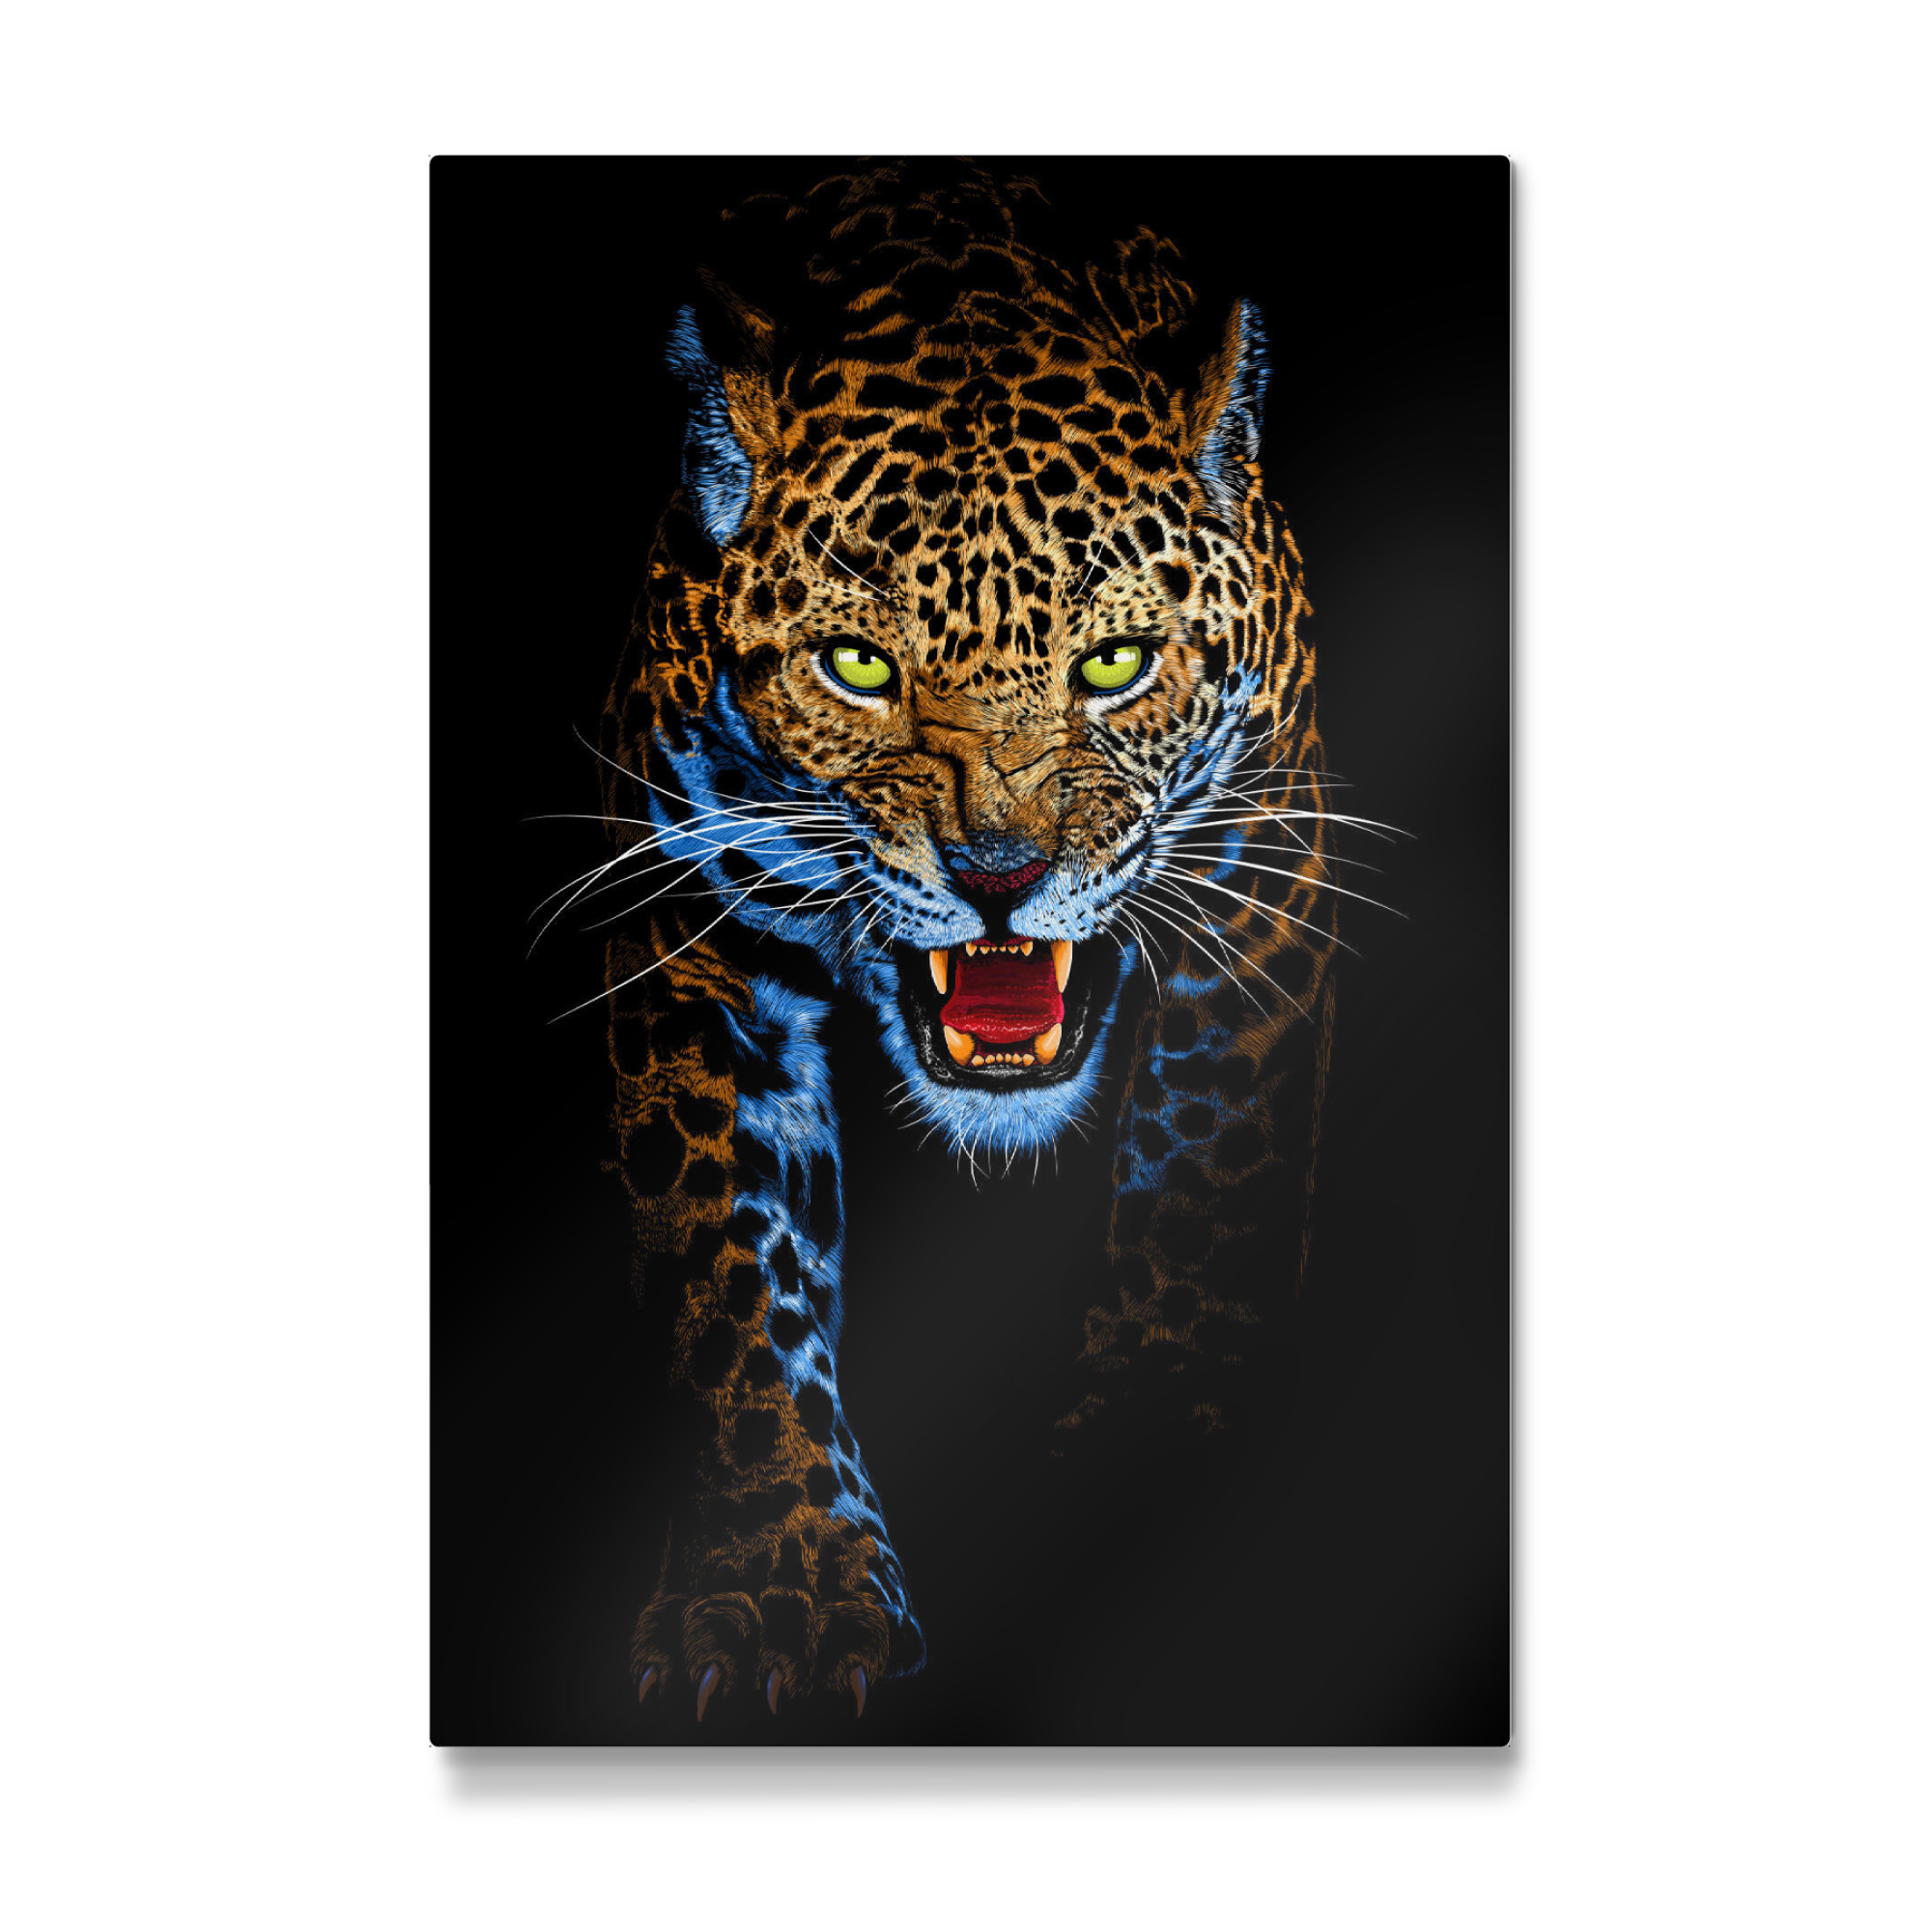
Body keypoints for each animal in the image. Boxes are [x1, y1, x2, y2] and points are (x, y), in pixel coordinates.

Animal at [576, 162, 1346, 1726]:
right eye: (858, 667)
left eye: (1112, 663)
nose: (999, 876)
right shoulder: (684, 924)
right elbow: (732, 1274)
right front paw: (778, 1579)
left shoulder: (1262, 889)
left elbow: (1201, 1202)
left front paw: (1136, 1484)